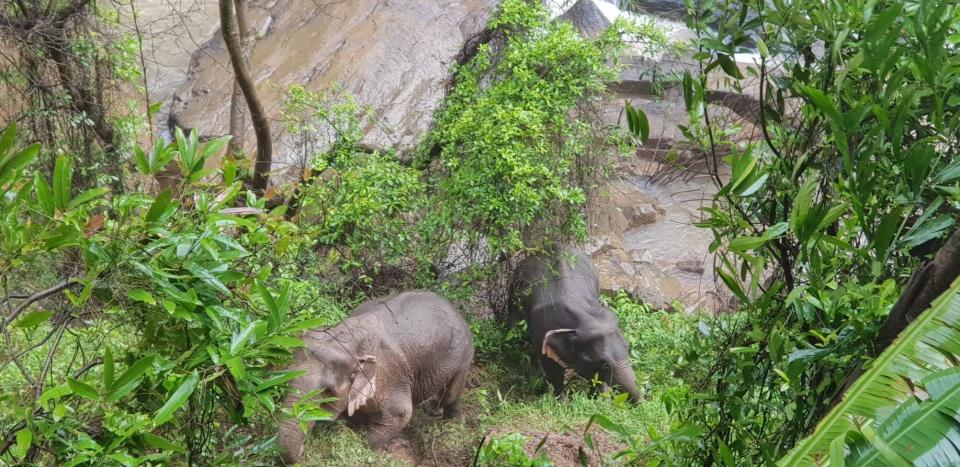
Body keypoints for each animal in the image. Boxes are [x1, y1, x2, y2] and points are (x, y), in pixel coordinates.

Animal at [276, 290, 474, 466]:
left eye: (328, 391)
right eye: (286, 379)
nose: (302, 450)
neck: (345, 340)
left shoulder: (389, 377)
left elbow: (401, 414)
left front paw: (375, 452)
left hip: (464, 355)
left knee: (451, 394)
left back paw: (455, 423)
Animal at [506, 247, 640, 404]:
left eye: (628, 348)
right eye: (604, 364)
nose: (642, 403)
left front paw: (597, 399)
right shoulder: (541, 332)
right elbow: (552, 371)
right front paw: (563, 403)